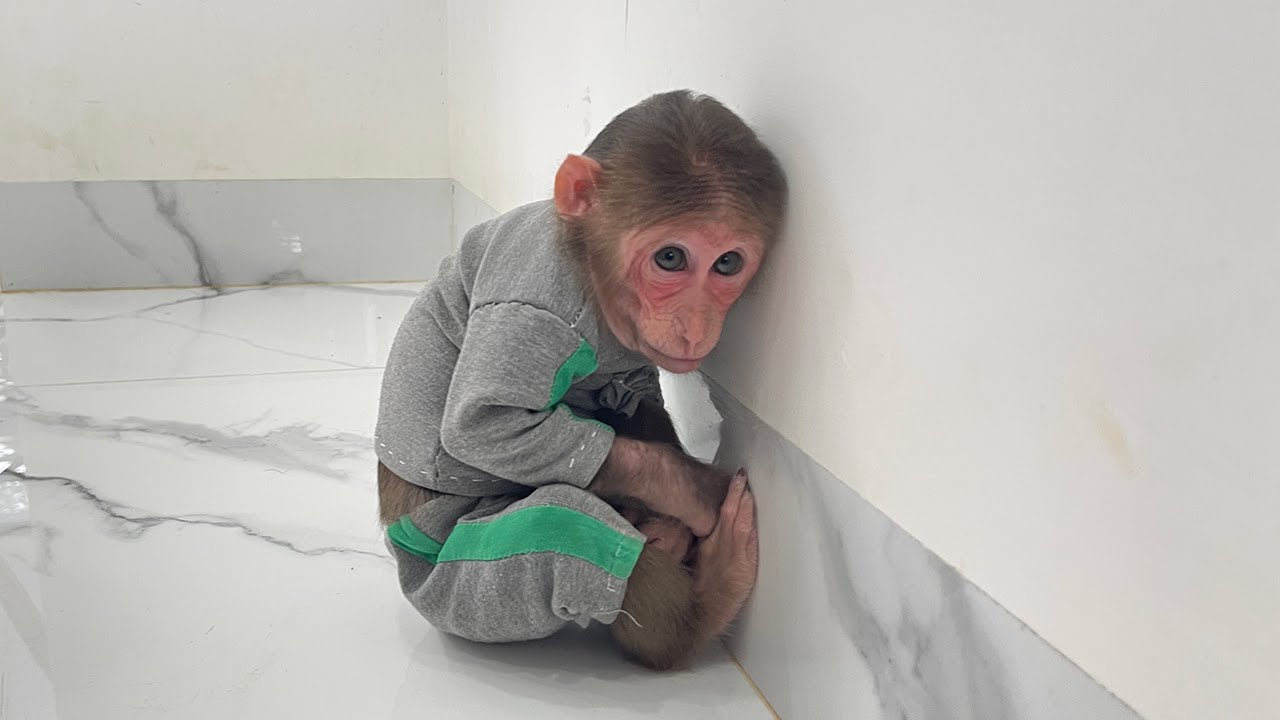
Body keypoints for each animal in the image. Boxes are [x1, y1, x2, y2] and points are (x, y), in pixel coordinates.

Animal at [374, 89, 786, 670]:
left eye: (727, 264)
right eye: (670, 258)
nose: (697, 324)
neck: (586, 266)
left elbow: (636, 397)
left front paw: (667, 509)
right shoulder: (532, 304)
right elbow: (482, 430)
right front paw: (692, 492)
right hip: (445, 578)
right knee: (561, 523)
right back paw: (697, 609)